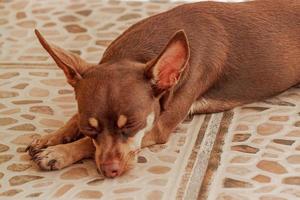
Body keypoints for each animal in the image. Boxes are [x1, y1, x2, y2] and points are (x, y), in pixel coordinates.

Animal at [26, 0, 300, 178]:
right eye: (89, 128)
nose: (110, 171)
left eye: (132, 125)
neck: (135, 54)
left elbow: (87, 146)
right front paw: (52, 137)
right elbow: (75, 120)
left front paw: (59, 152)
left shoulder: (157, 128)